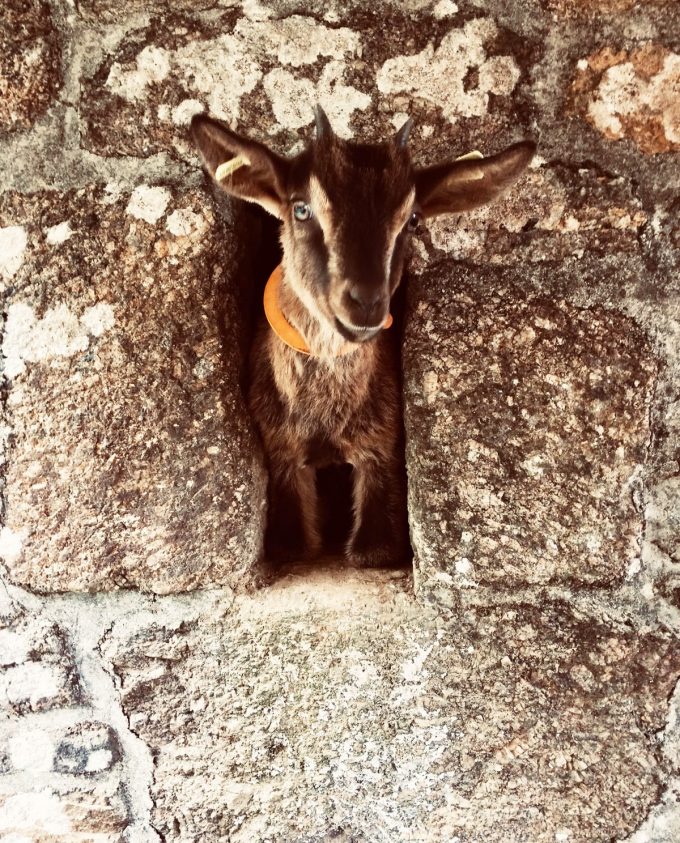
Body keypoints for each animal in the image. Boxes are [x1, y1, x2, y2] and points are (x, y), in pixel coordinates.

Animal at [191, 107, 535, 567]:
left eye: (412, 219)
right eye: (301, 208)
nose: (366, 302)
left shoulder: (382, 446)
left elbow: (374, 548)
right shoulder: (281, 449)